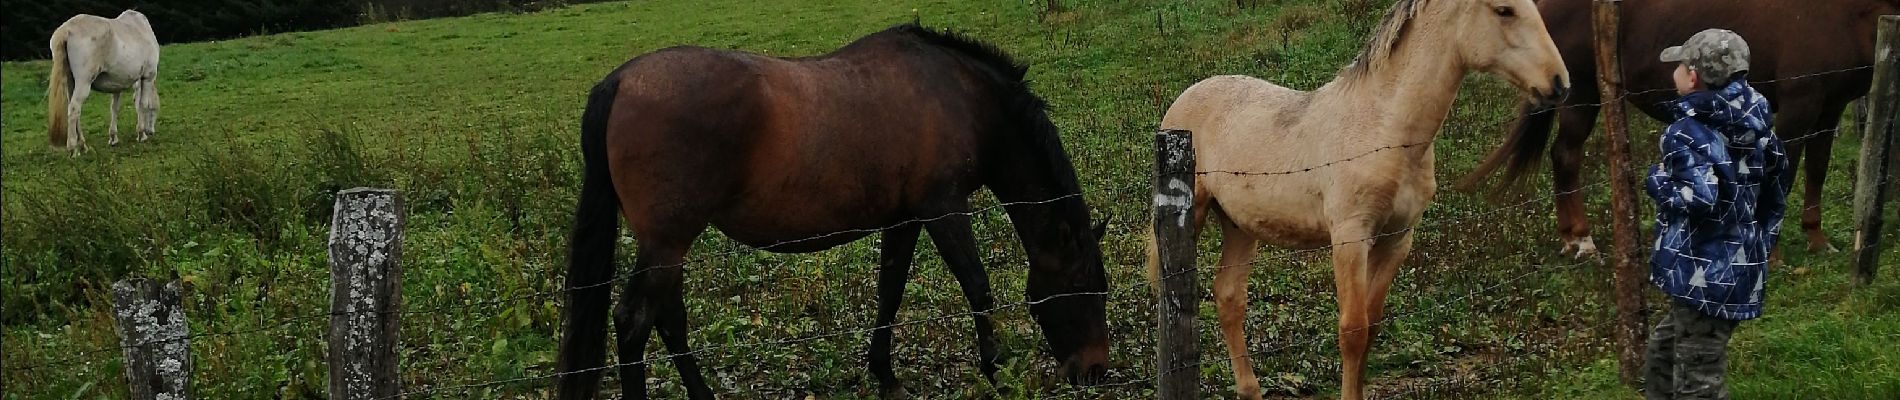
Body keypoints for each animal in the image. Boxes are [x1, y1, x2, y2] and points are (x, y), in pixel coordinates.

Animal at [46, 10, 159, 154]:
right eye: (155, 110)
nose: (151, 131)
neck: (140, 28)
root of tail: (67, 30)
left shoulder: (117, 85)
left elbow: (114, 108)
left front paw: (113, 138)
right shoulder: (148, 77)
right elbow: (143, 104)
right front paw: (141, 134)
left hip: (71, 84)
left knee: (75, 112)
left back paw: (83, 145)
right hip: (83, 83)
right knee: (74, 109)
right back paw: (73, 149)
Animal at [551, 23, 1109, 398]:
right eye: (1083, 285)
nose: (1095, 371)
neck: (959, 95)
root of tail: (621, 81)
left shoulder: (905, 217)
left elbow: (890, 291)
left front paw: (884, 374)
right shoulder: (943, 208)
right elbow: (977, 286)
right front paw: (995, 370)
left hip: (667, 244)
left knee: (667, 320)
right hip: (667, 241)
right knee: (634, 323)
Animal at [1147, 0, 1565, 400]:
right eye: (1504, 10)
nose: (1559, 83)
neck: (1383, 128)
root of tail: (1183, 102)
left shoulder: (1397, 239)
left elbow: (1372, 324)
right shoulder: (1350, 237)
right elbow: (1353, 329)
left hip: (1239, 226)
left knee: (1229, 298)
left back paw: (1250, 390)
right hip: (1195, 214)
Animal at [1451, 0, 1900, 255]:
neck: (1843, 13)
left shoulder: (1829, 110)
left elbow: (1817, 171)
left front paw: (1817, 239)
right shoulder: (1798, 109)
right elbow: (1782, 180)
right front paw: (1769, 253)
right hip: (1581, 94)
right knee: (1566, 156)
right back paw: (1580, 239)